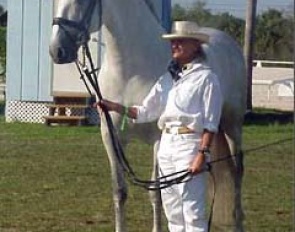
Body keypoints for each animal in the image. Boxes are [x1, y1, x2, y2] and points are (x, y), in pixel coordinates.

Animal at [49, 0, 249, 231]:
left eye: (82, 1)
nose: (57, 50)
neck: (130, 73)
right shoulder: (111, 138)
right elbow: (119, 192)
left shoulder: (158, 139)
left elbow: (157, 193)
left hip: (233, 124)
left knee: (237, 170)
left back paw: (237, 221)